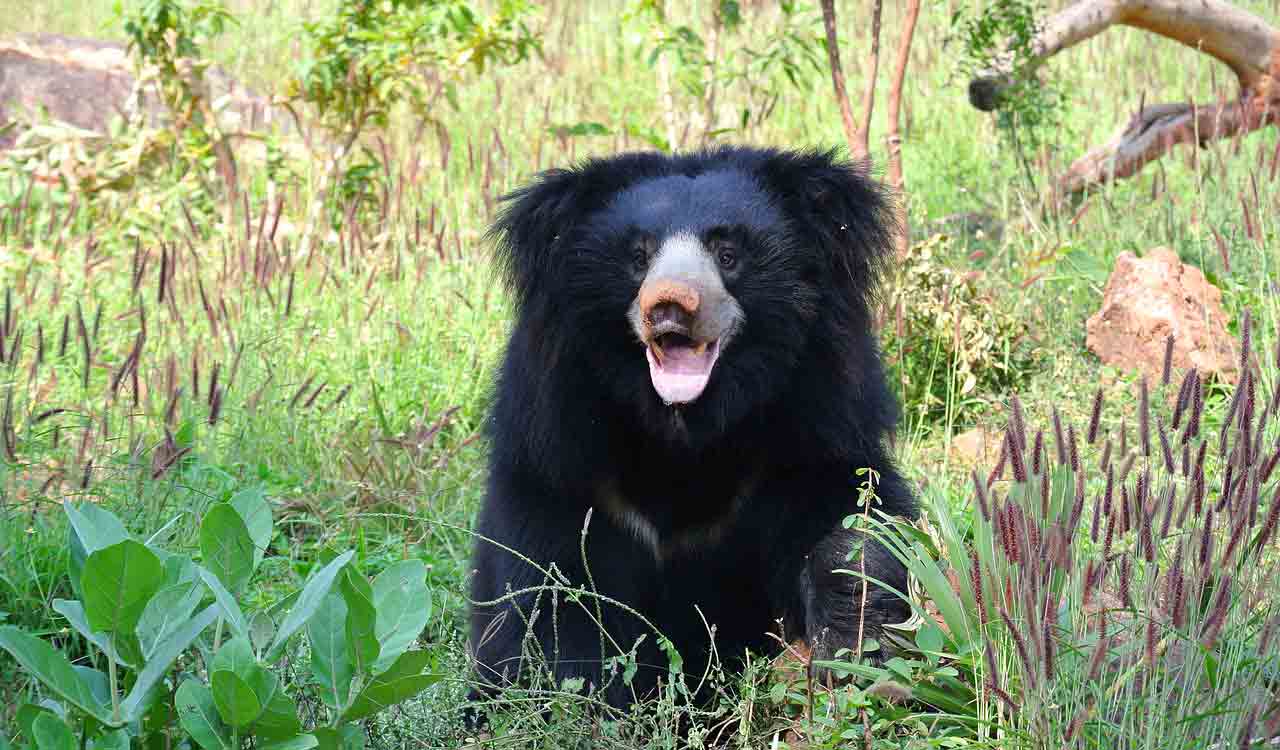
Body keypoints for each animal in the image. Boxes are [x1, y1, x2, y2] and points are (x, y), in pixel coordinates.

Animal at [465, 144, 916, 706]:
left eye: (728, 254)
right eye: (639, 257)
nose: (669, 305)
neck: (685, 430)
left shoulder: (814, 426)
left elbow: (852, 519)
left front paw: (855, 639)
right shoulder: (558, 460)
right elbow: (550, 596)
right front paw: (577, 698)